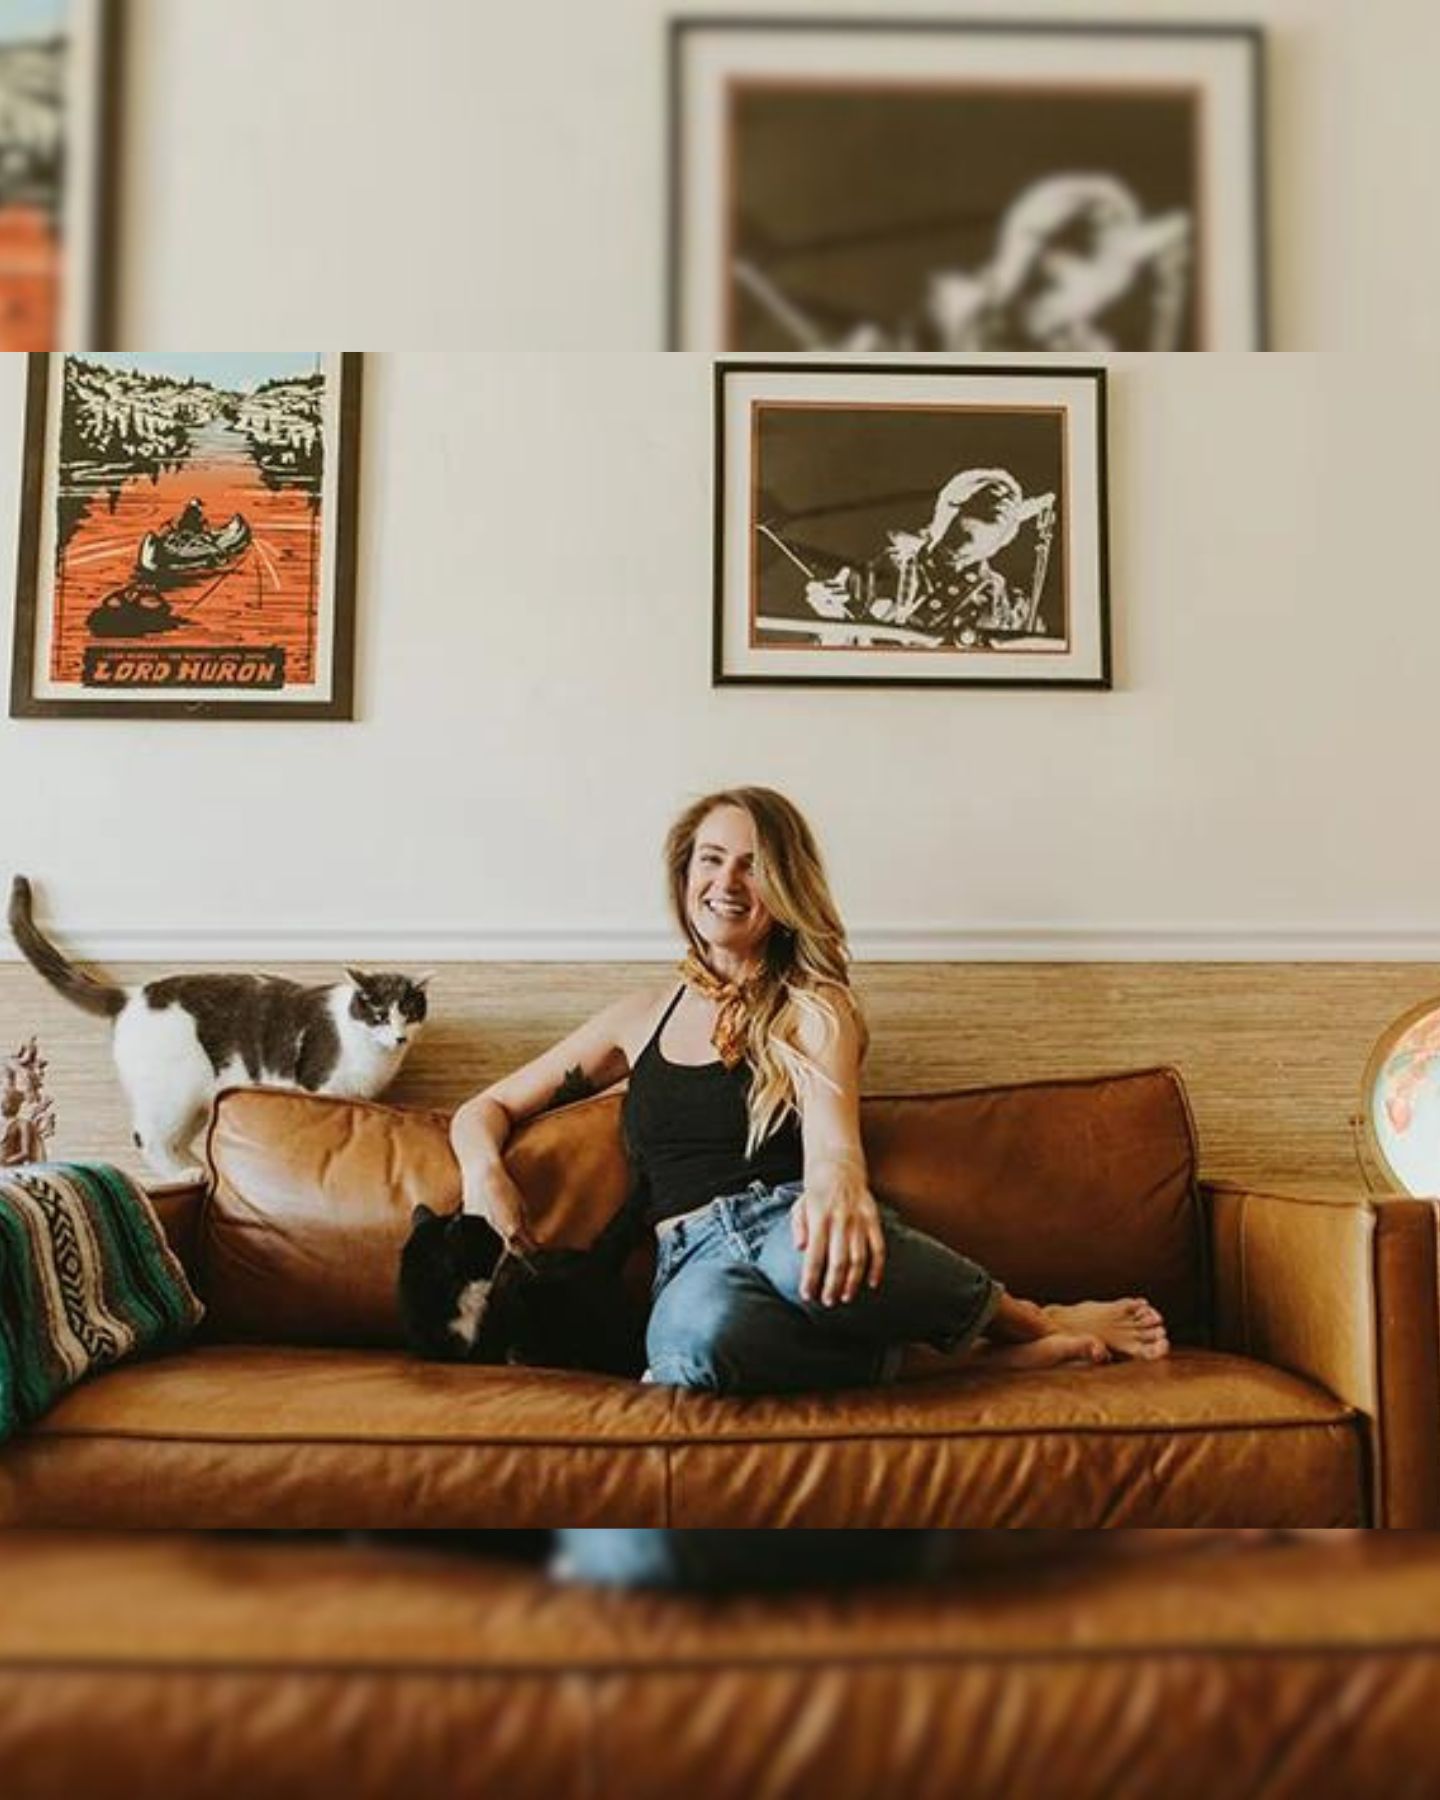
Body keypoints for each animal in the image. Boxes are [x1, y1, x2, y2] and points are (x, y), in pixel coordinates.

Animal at [9, 878, 428, 1188]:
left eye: (408, 1013)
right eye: (379, 1015)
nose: (399, 1037)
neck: (375, 1055)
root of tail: (131, 994)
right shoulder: (324, 1088)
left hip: (197, 1099)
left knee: (175, 1140)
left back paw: (199, 1170)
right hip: (172, 1092)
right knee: (148, 1137)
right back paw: (187, 1173)